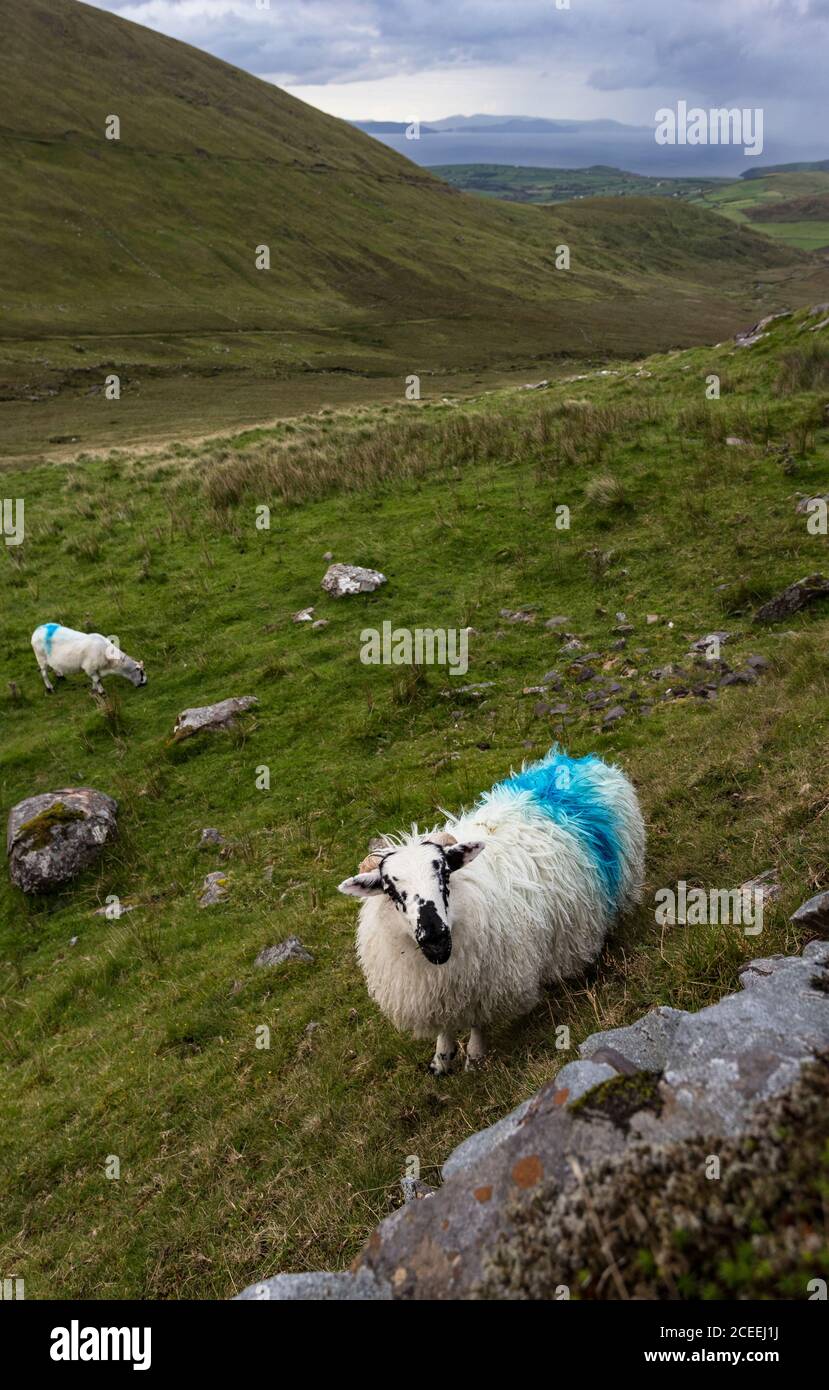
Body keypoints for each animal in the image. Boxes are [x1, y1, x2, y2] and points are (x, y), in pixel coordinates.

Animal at [339, 750, 645, 1073]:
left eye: (444, 873)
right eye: (390, 889)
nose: (435, 936)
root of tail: (575, 762)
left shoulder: (487, 982)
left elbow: (478, 1021)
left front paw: (474, 1057)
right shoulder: (436, 991)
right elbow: (444, 1026)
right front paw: (441, 1058)